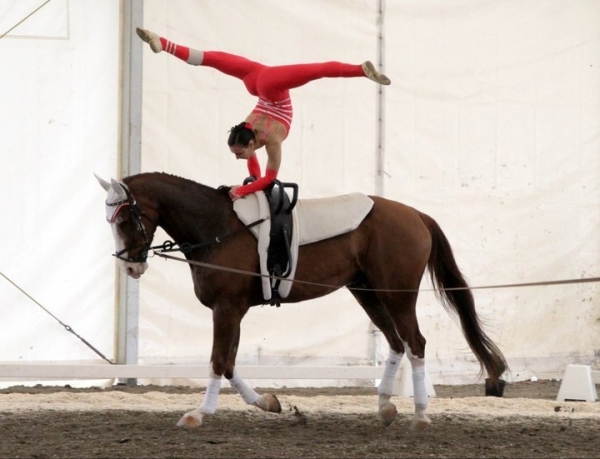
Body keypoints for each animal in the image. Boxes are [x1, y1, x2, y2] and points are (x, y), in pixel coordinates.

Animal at [97, 172, 506, 432]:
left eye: (125, 219)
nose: (131, 266)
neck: (216, 227)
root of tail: (416, 214)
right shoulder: (232, 310)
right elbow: (229, 364)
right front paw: (268, 403)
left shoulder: (227, 309)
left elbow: (217, 361)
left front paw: (199, 413)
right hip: (367, 293)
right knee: (395, 343)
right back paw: (385, 406)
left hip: (397, 294)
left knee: (415, 343)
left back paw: (420, 416)